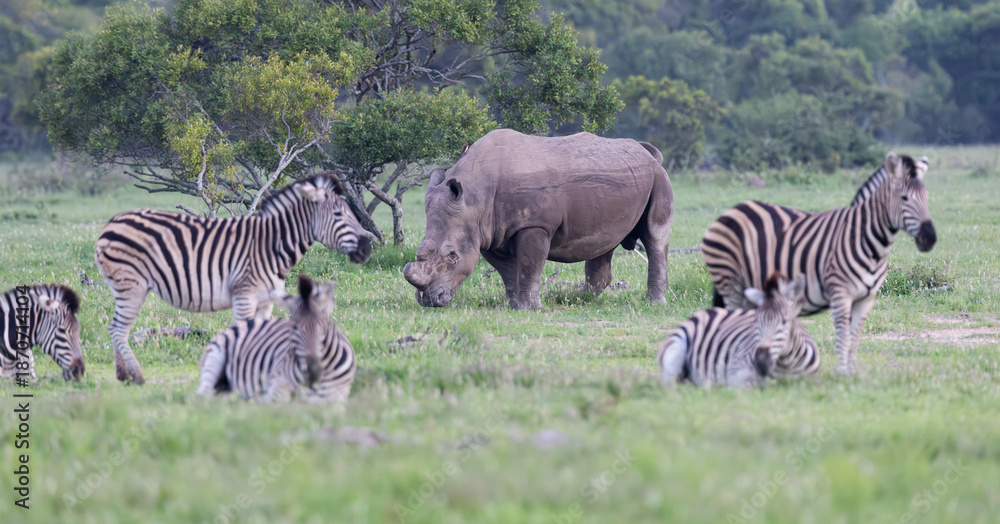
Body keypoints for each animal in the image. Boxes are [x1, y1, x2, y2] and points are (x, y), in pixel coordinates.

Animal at [94, 174, 370, 385]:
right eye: (338, 214)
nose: (367, 248)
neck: (272, 245)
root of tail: (111, 223)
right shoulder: (244, 296)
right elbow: (243, 334)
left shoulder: (265, 301)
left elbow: (260, 336)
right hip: (132, 286)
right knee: (118, 329)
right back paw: (137, 377)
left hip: (125, 288)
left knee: (115, 328)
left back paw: (123, 376)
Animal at [197, 275, 356, 402]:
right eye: (294, 327)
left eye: (325, 325)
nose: (313, 371)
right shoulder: (278, 384)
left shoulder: (335, 396)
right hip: (215, 357)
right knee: (203, 395)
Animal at [403, 129, 674, 310]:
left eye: (452, 256)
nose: (430, 301)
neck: (474, 197)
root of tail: (649, 154)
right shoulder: (489, 231)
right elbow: (508, 271)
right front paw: (513, 306)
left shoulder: (534, 224)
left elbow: (530, 265)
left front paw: (530, 308)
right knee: (604, 242)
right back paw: (579, 299)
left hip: (659, 178)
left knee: (654, 237)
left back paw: (654, 303)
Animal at [701, 153, 936, 376]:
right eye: (904, 198)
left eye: (927, 198)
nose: (930, 238)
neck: (870, 243)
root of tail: (733, 210)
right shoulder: (840, 293)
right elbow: (843, 335)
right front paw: (842, 374)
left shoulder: (866, 299)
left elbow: (854, 338)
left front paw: (852, 373)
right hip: (730, 282)